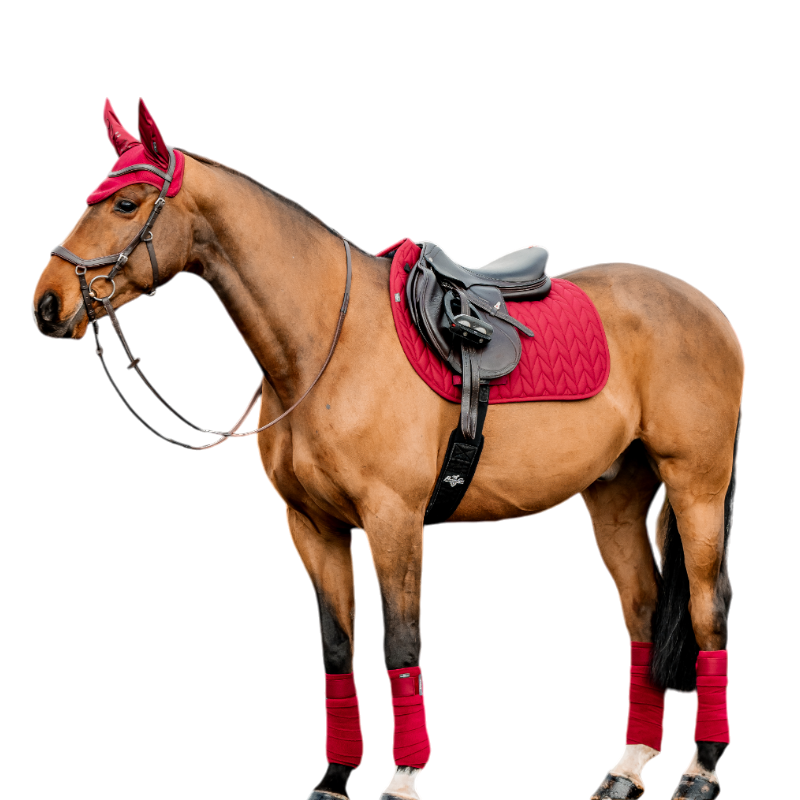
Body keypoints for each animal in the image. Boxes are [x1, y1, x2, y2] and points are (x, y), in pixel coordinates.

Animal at [32, 98, 744, 800]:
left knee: (708, 612)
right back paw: (627, 767)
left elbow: (401, 647)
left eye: (127, 205)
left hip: (695, 487)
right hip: (616, 497)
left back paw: (700, 770)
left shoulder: (394, 520)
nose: (48, 304)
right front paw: (337, 776)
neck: (329, 340)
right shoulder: (311, 526)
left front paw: (402, 779)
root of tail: (703, 308)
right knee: (644, 617)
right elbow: (336, 649)